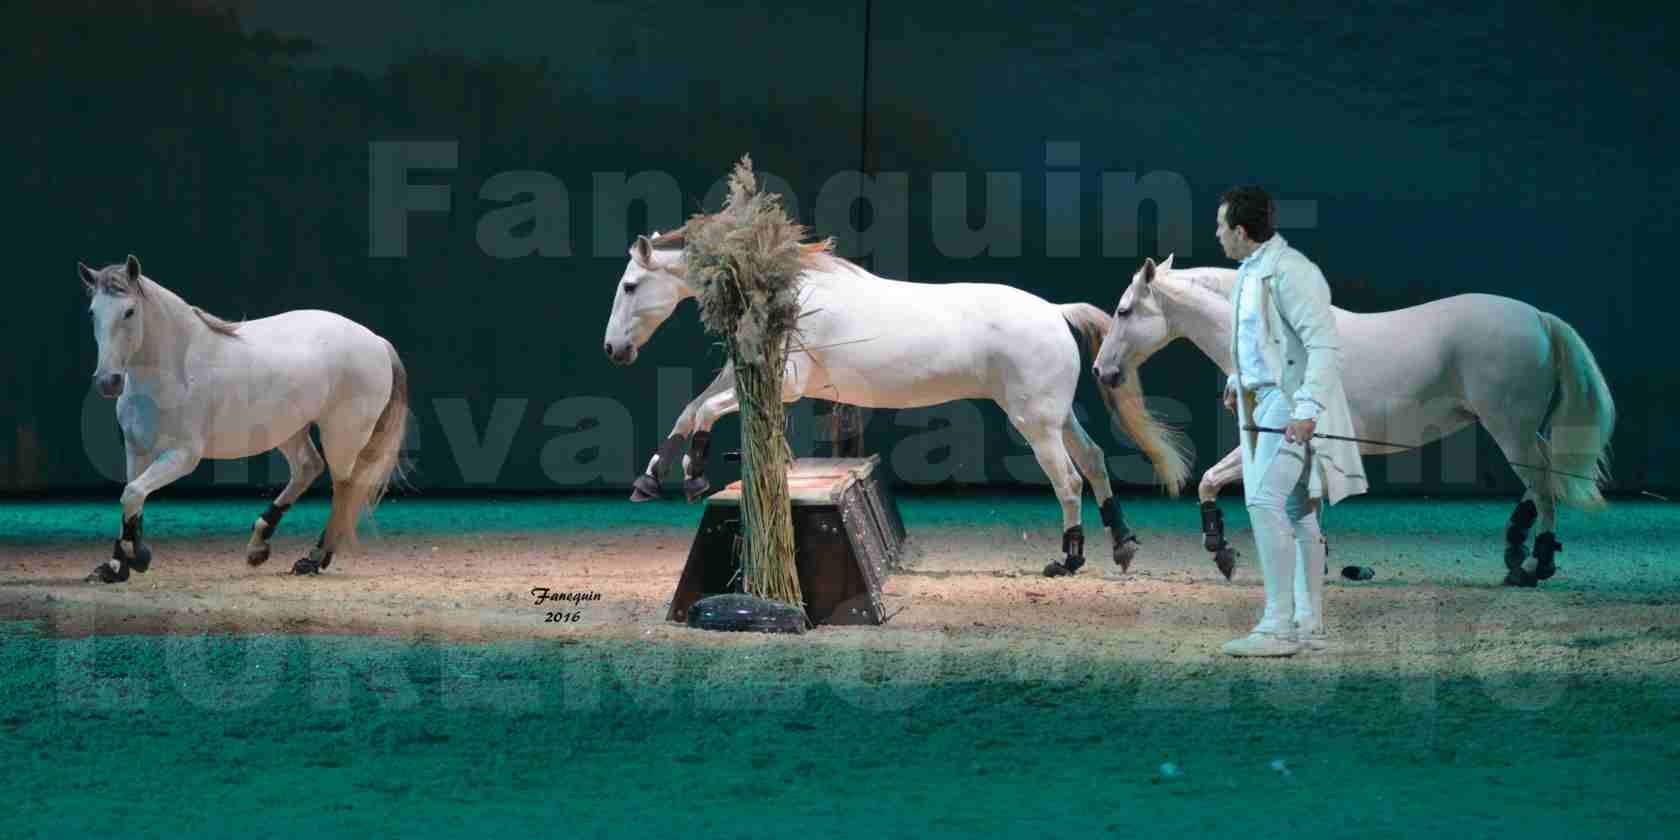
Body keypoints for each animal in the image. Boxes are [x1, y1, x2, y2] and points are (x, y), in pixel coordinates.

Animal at [78, 255, 409, 581]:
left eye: (129, 311)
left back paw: (313, 559)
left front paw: (135, 558)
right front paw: (116, 566)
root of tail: (376, 341)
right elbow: (131, 499)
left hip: (342, 435)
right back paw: (259, 545)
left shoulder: (183, 455)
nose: (108, 381)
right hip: (288, 430)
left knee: (344, 488)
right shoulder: (137, 450)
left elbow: (132, 493)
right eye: (92, 313)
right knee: (308, 467)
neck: (176, 369)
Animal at [604, 226, 1196, 574]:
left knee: (1069, 481)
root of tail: (1054, 310)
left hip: (1036, 423)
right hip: (1056, 416)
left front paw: (695, 476)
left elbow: (702, 413)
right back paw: (1122, 543)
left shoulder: (787, 384)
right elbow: (687, 412)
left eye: (630, 285)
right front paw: (651, 480)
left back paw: (1068, 560)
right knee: (1094, 462)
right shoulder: (742, 379)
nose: (614, 350)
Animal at [1088, 251, 1612, 588]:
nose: (1100, 370)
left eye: (1124, 310)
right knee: (1542, 481)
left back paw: (1534, 565)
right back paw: (1516, 553)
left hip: (1511, 429)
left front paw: (1222, 551)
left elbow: (1211, 481)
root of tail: (1539, 319)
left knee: (1542, 485)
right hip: (1520, 432)